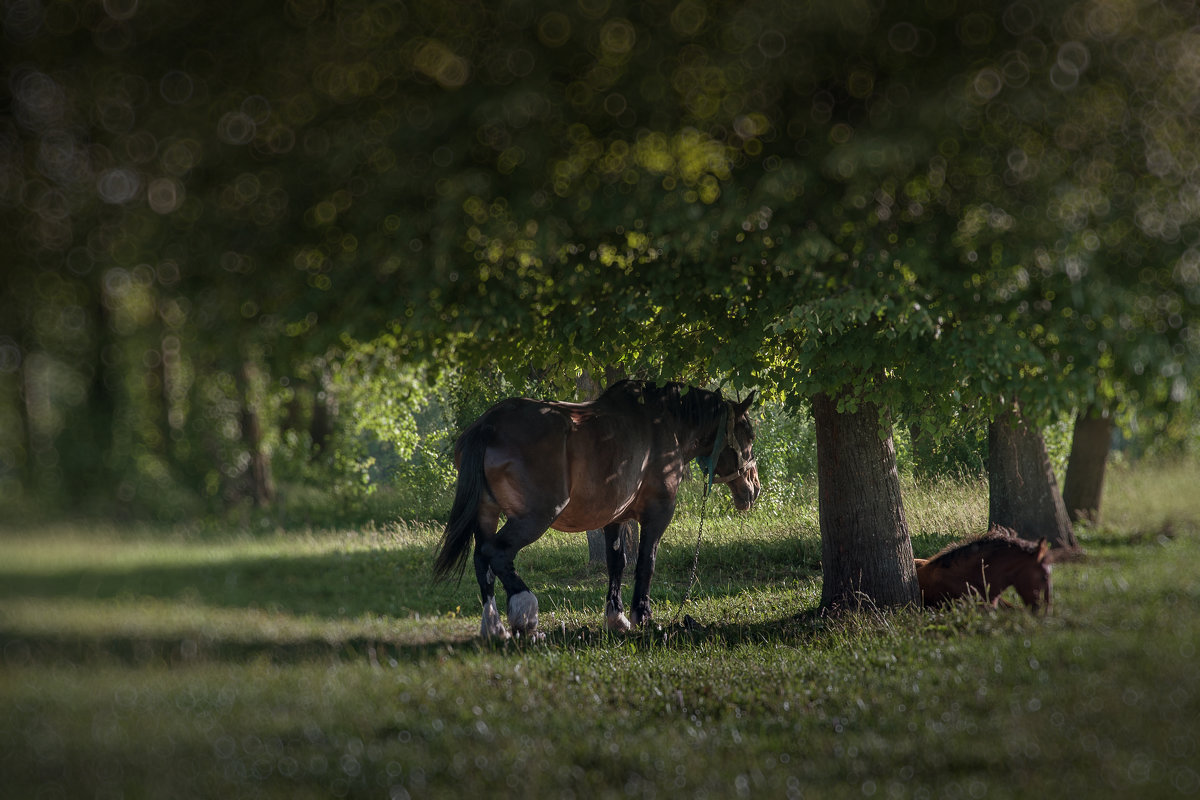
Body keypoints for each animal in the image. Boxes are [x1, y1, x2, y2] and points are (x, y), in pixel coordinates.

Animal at [436, 381, 758, 638]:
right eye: (750, 435)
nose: (753, 488)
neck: (663, 423)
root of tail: (488, 425)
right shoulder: (658, 513)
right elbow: (646, 562)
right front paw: (643, 616)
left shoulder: (614, 518)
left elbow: (617, 563)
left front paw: (616, 617)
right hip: (534, 517)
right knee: (497, 554)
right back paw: (525, 615)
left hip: (486, 513)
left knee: (482, 560)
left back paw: (494, 627)